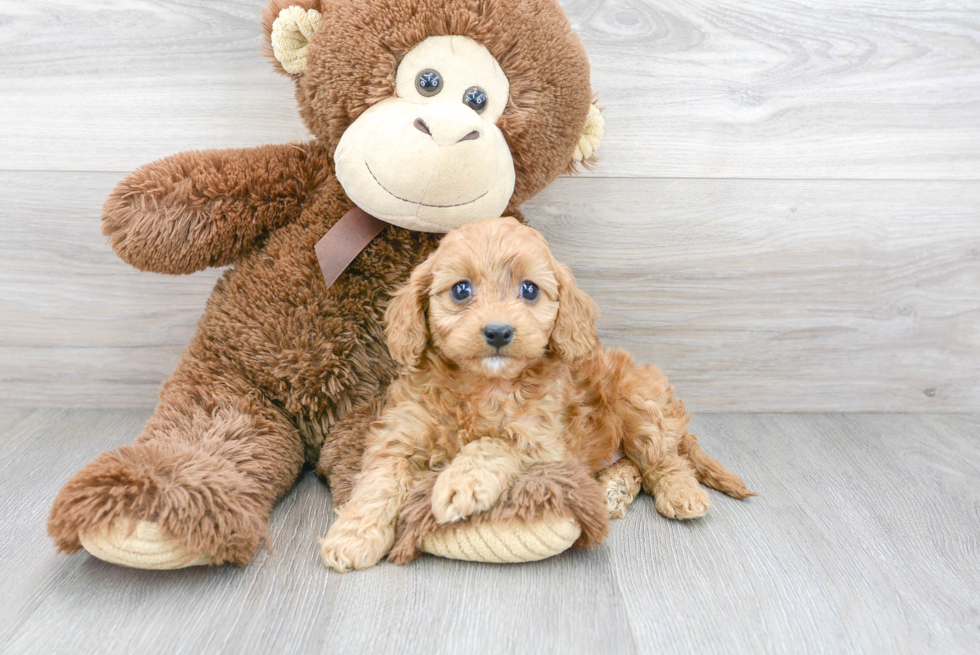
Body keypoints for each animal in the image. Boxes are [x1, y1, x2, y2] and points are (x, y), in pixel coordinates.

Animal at [318, 218, 756, 572]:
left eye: (529, 290)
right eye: (461, 290)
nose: (498, 332)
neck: (482, 385)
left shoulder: (541, 442)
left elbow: (493, 443)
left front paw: (460, 484)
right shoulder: (399, 436)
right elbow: (378, 484)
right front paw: (351, 536)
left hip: (639, 403)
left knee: (664, 461)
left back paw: (681, 494)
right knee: (634, 464)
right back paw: (612, 490)